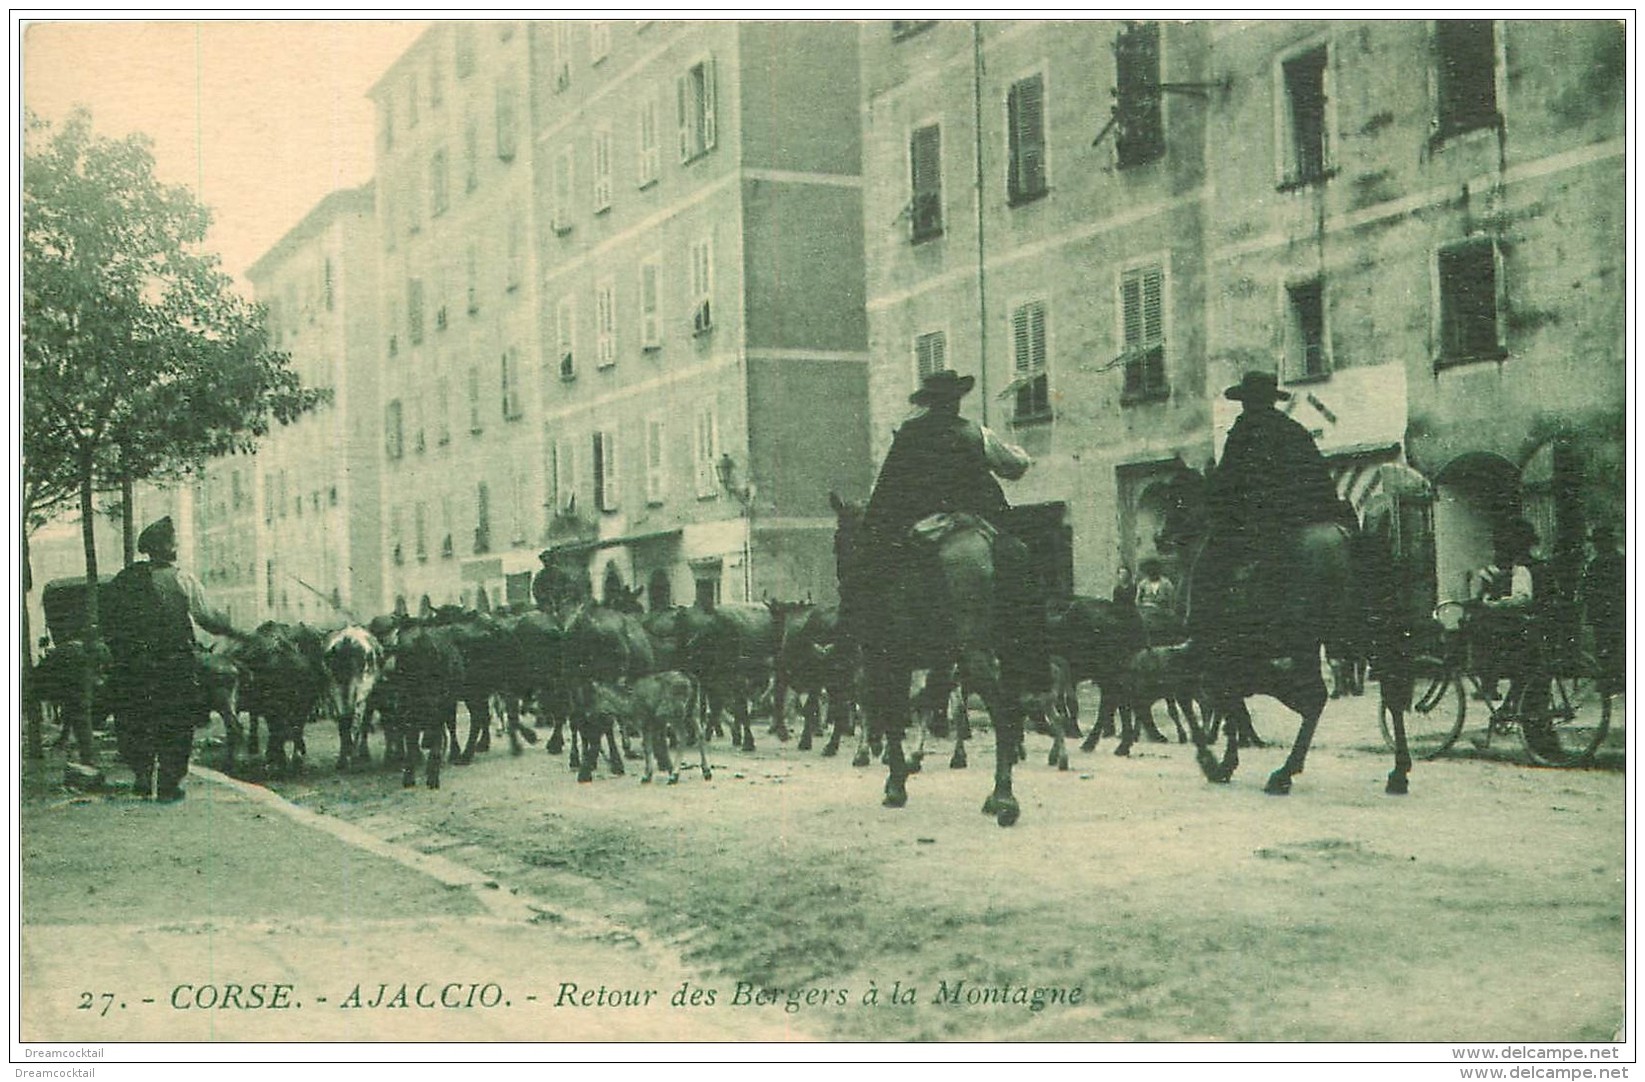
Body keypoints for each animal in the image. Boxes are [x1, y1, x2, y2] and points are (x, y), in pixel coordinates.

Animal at [829, 493, 1046, 822]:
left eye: (838, 539)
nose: (844, 588)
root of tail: (989, 537)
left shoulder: (884, 658)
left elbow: (892, 710)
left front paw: (895, 781)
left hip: (974, 653)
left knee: (1000, 710)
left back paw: (1004, 798)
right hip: (1008, 653)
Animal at [1151, 467, 1421, 792]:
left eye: (1178, 499)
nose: (1159, 537)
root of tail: (1345, 536)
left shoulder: (1210, 647)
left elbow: (1208, 695)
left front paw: (1212, 762)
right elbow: (1229, 700)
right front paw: (1225, 761)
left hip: (1307, 640)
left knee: (1318, 697)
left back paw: (1284, 774)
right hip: (1362, 632)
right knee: (1390, 690)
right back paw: (1398, 772)